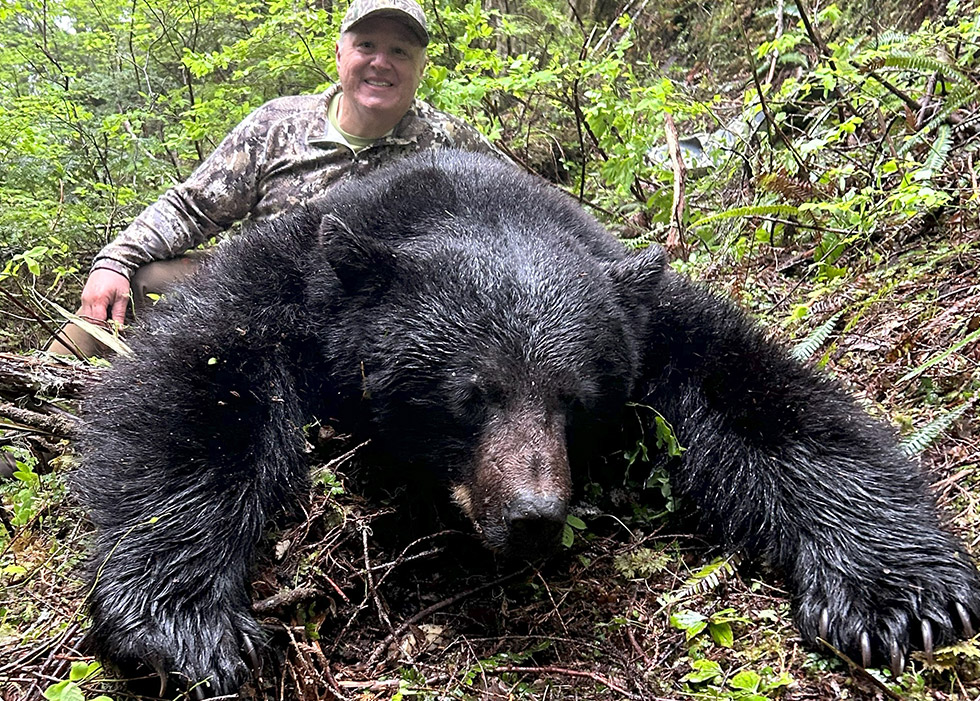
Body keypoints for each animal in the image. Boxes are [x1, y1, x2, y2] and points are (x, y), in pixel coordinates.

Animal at [74, 149, 980, 698]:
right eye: (471, 394)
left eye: (575, 400)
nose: (534, 515)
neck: (469, 201)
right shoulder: (292, 282)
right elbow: (196, 387)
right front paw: (183, 622)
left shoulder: (649, 321)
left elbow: (765, 397)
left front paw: (901, 595)